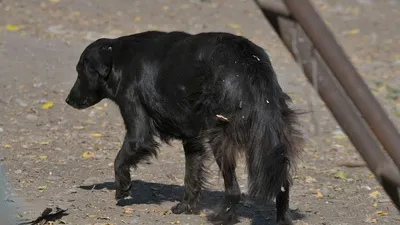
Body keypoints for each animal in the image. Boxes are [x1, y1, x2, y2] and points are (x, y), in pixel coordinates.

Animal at [66, 30, 304, 225]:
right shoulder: (192, 138)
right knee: (282, 183)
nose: (68, 100)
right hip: (271, 135)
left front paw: (122, 187)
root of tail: (250, 62)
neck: (120, 59)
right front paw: (186, 206)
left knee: (234, 189)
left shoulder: (137, 126)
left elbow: (120, 158)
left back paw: (222, 217)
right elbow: (192, 174)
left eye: (80, 71)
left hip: (221, 138)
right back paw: (282, 219)